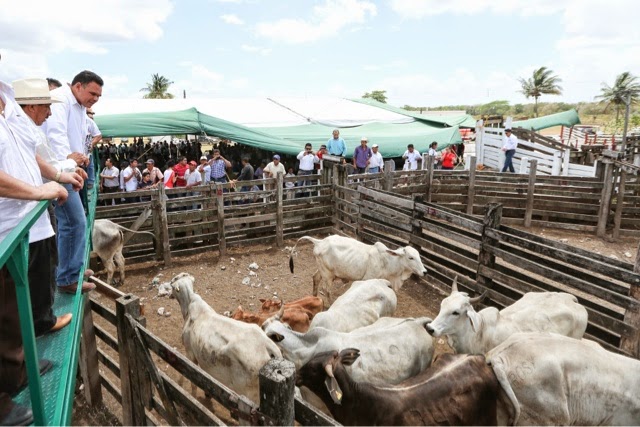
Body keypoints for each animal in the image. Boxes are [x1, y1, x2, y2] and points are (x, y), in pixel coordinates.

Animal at [169, 272, 282, 406]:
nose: (169, 293)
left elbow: (193, 382)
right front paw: (208, 394)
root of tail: (267, 345)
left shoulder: (190, 353)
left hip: (249, 395)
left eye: (173, 282)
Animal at [292, 234, 430, 300]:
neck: (386, 262)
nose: (425, 271)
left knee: (315, 278)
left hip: (323, 271)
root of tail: (319, 241)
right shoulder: (367, 280)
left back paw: (314, 298)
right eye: (411, 257)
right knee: (327, 290)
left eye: (419, 256)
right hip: (328, 274)